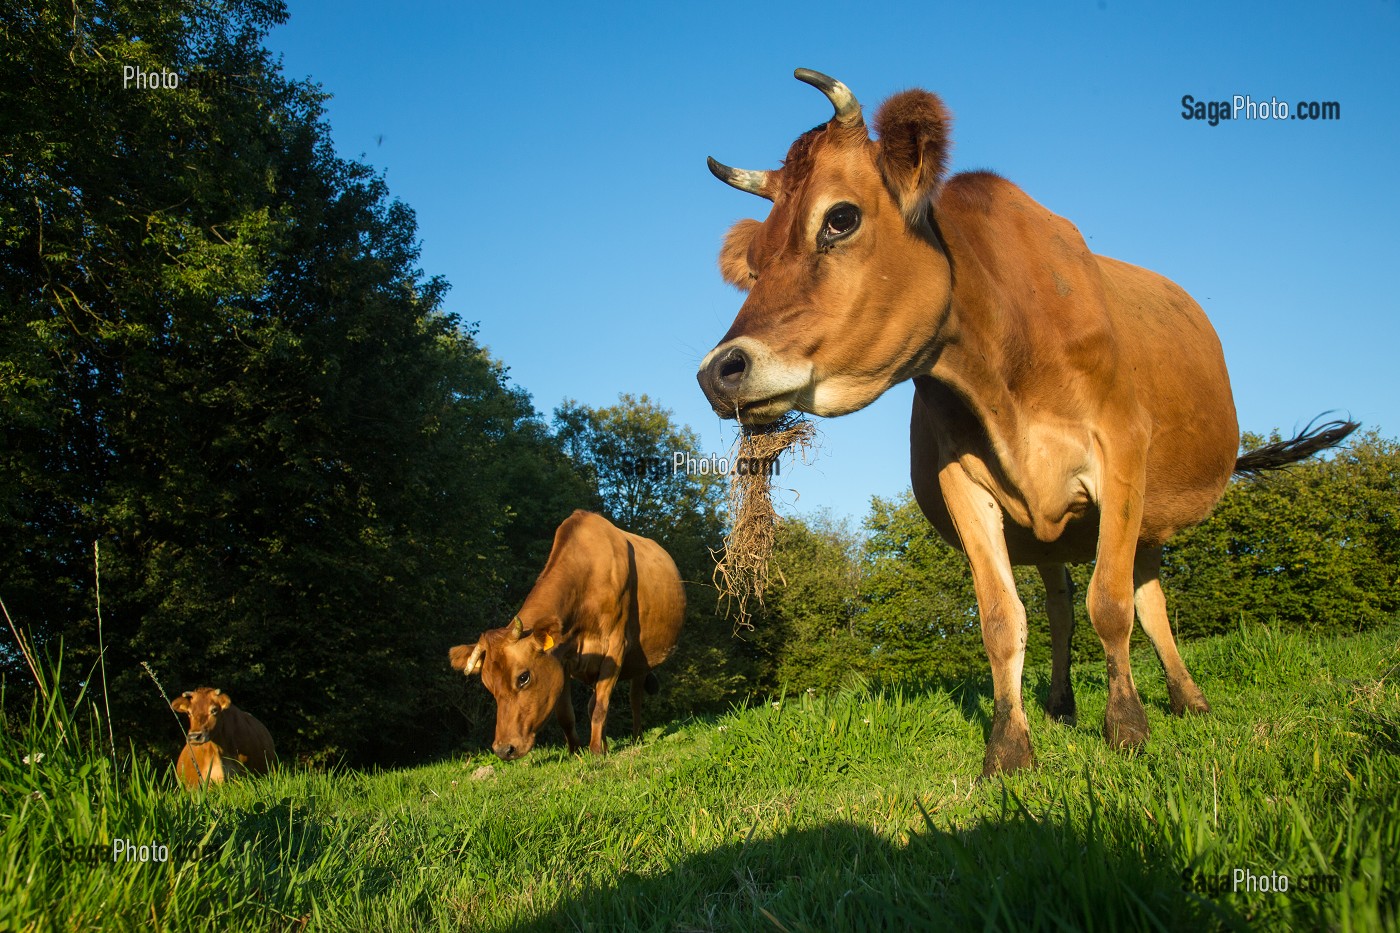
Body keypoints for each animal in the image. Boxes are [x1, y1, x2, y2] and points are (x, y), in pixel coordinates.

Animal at [450, 510, 685, 761]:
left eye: (523, 677)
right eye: (488, 685)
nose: (504, 749)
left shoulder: (616, 646)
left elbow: (599, 706)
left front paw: (595, 751)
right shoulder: (561, 660)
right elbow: (566, 714)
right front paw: (576, 752)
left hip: (641, 661)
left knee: (634, 698)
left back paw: (636, 738)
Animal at [696, 69, 1356, 777]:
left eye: (840, 218)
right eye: (754, 261)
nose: (718, 372)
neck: (1002, 362)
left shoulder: (1121, 455)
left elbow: (1112, 603)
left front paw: (1127, 726)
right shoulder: (962, 481)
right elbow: (1001, 621)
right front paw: (1010, 748)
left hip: (1146, 511)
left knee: (1146, 598)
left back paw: (1187, 698)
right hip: (1049, 534)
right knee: (1062, 605)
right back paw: (1063, 703)